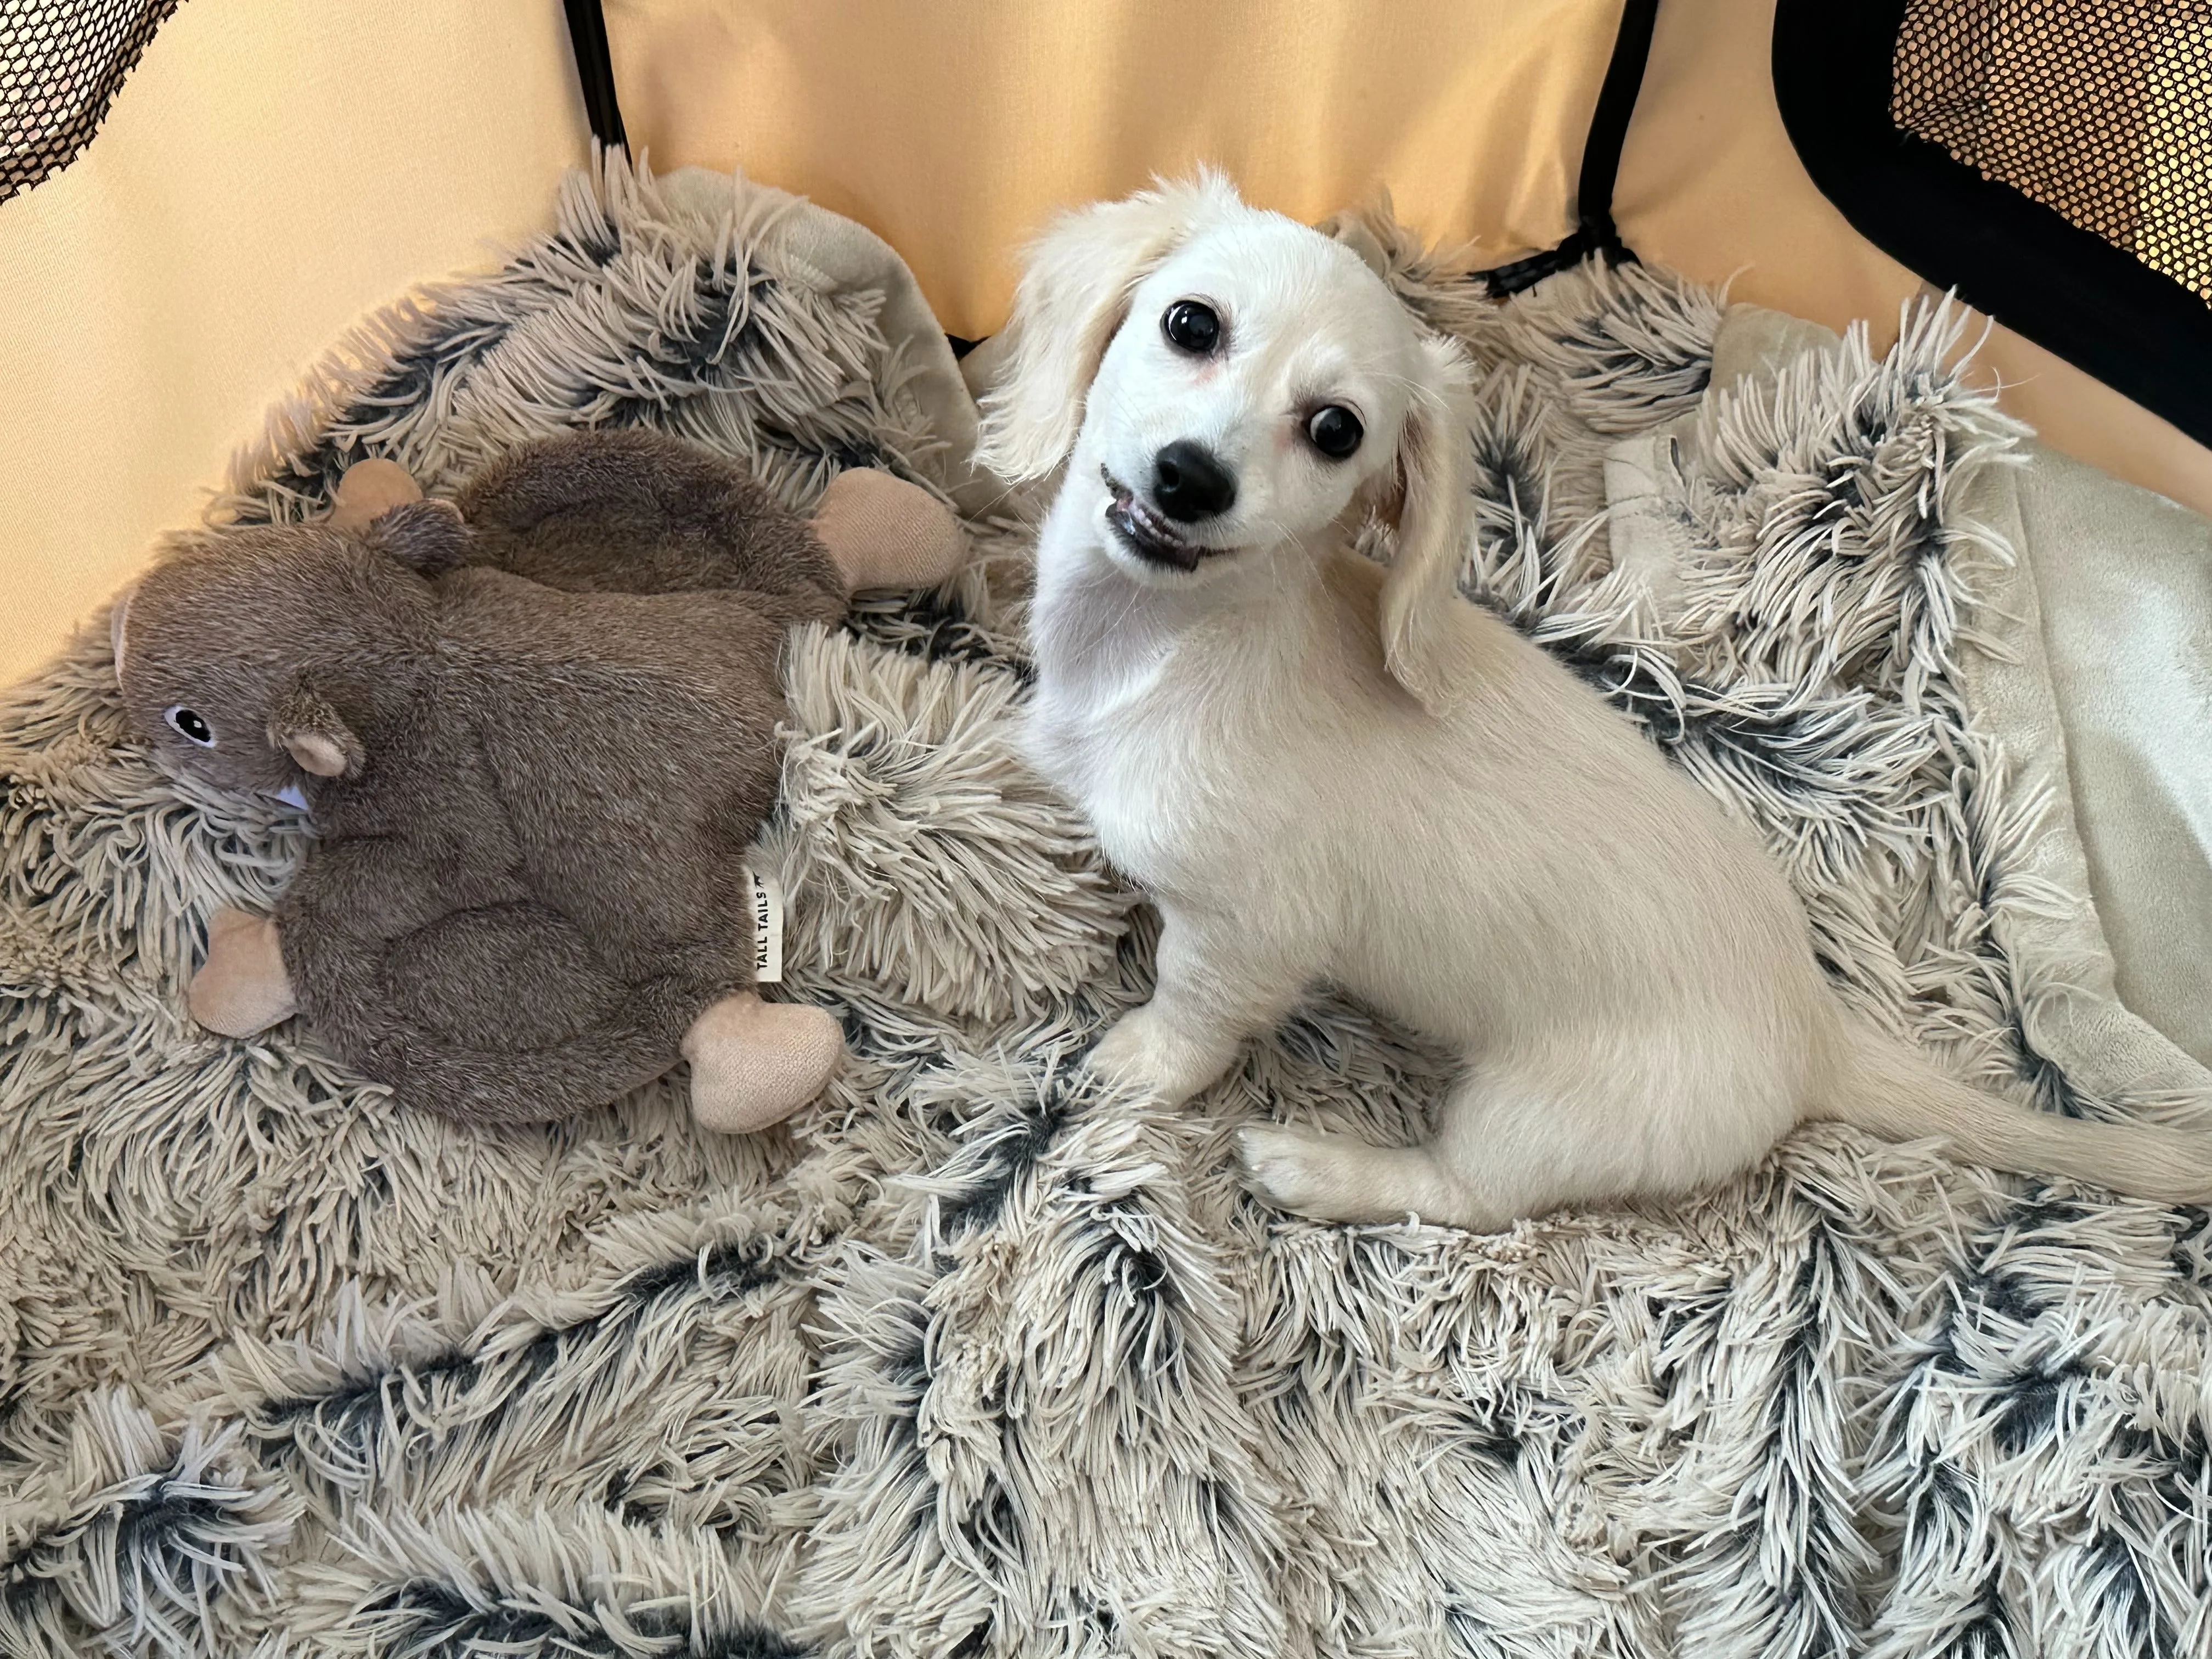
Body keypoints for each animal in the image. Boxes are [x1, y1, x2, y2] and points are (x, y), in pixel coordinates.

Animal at [982, 176, 2212, 1230]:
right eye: (1190, 324)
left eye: (1336, 430)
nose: (1190, 479)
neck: (1157, 647)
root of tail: (1816, 1029)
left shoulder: (1245, 936)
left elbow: (1186, 1015)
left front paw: (1131, 1067)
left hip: (1530, 1113)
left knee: (1467, 1197)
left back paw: (1323, 1168)